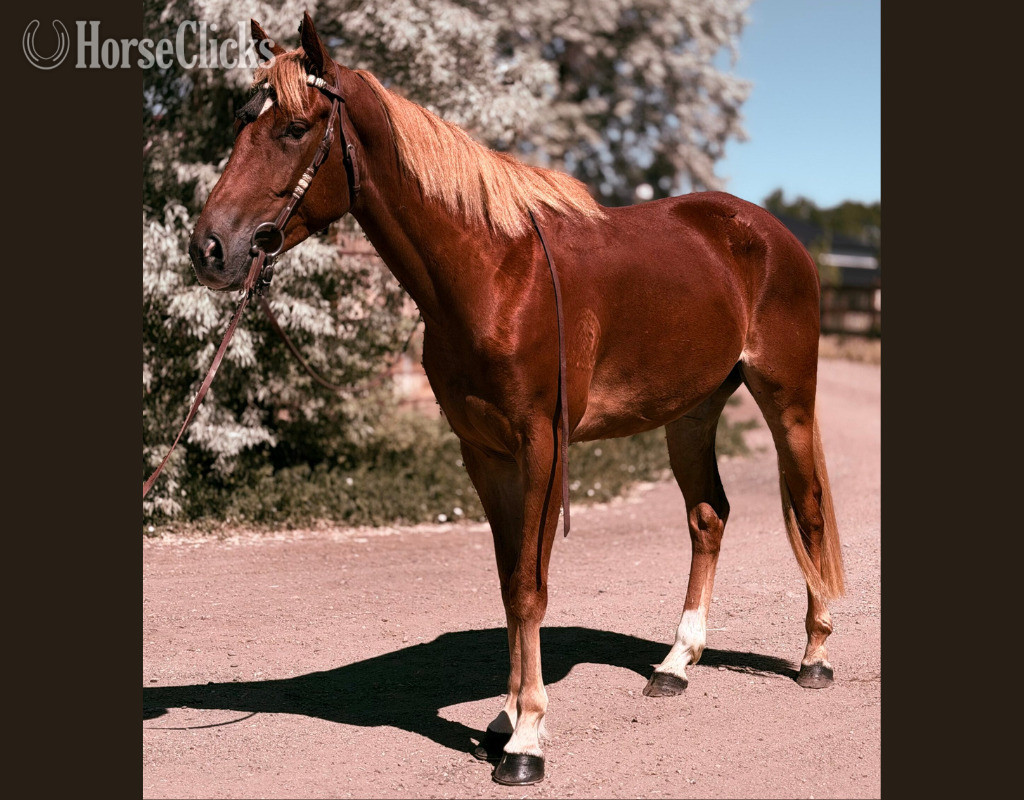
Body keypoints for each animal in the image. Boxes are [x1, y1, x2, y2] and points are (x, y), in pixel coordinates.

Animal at [187, 14, 845, 786]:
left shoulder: (543, 444)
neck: (496, 271)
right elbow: (508, 583)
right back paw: (675, 665)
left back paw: (814, 656)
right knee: (708, 517)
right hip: (691, 414)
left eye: (293, 128)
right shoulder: (484, 450)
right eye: (241, 123)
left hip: (788, 401)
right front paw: (504, 718)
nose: (210, 248)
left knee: (807, 509)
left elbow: (532, 585)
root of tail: (770, 233)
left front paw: (528, 739)